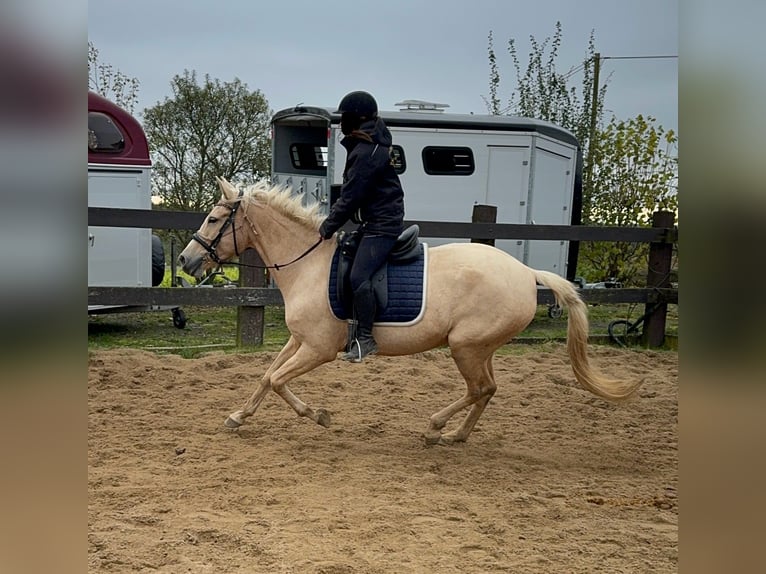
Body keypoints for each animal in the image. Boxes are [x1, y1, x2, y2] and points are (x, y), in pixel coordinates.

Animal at [180, 179, 640, 446]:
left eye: (214, 218)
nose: (185, 261)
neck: (308, 263)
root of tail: (527, 273)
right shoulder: (299, 340)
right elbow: (266, 377)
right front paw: (238, 417)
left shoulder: (318, 349)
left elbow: (277, 380)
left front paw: (319, 416)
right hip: (480, 348)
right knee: (488, 389)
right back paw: (456, 435)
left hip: (465, 346)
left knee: (479, 388)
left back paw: (436, 427)